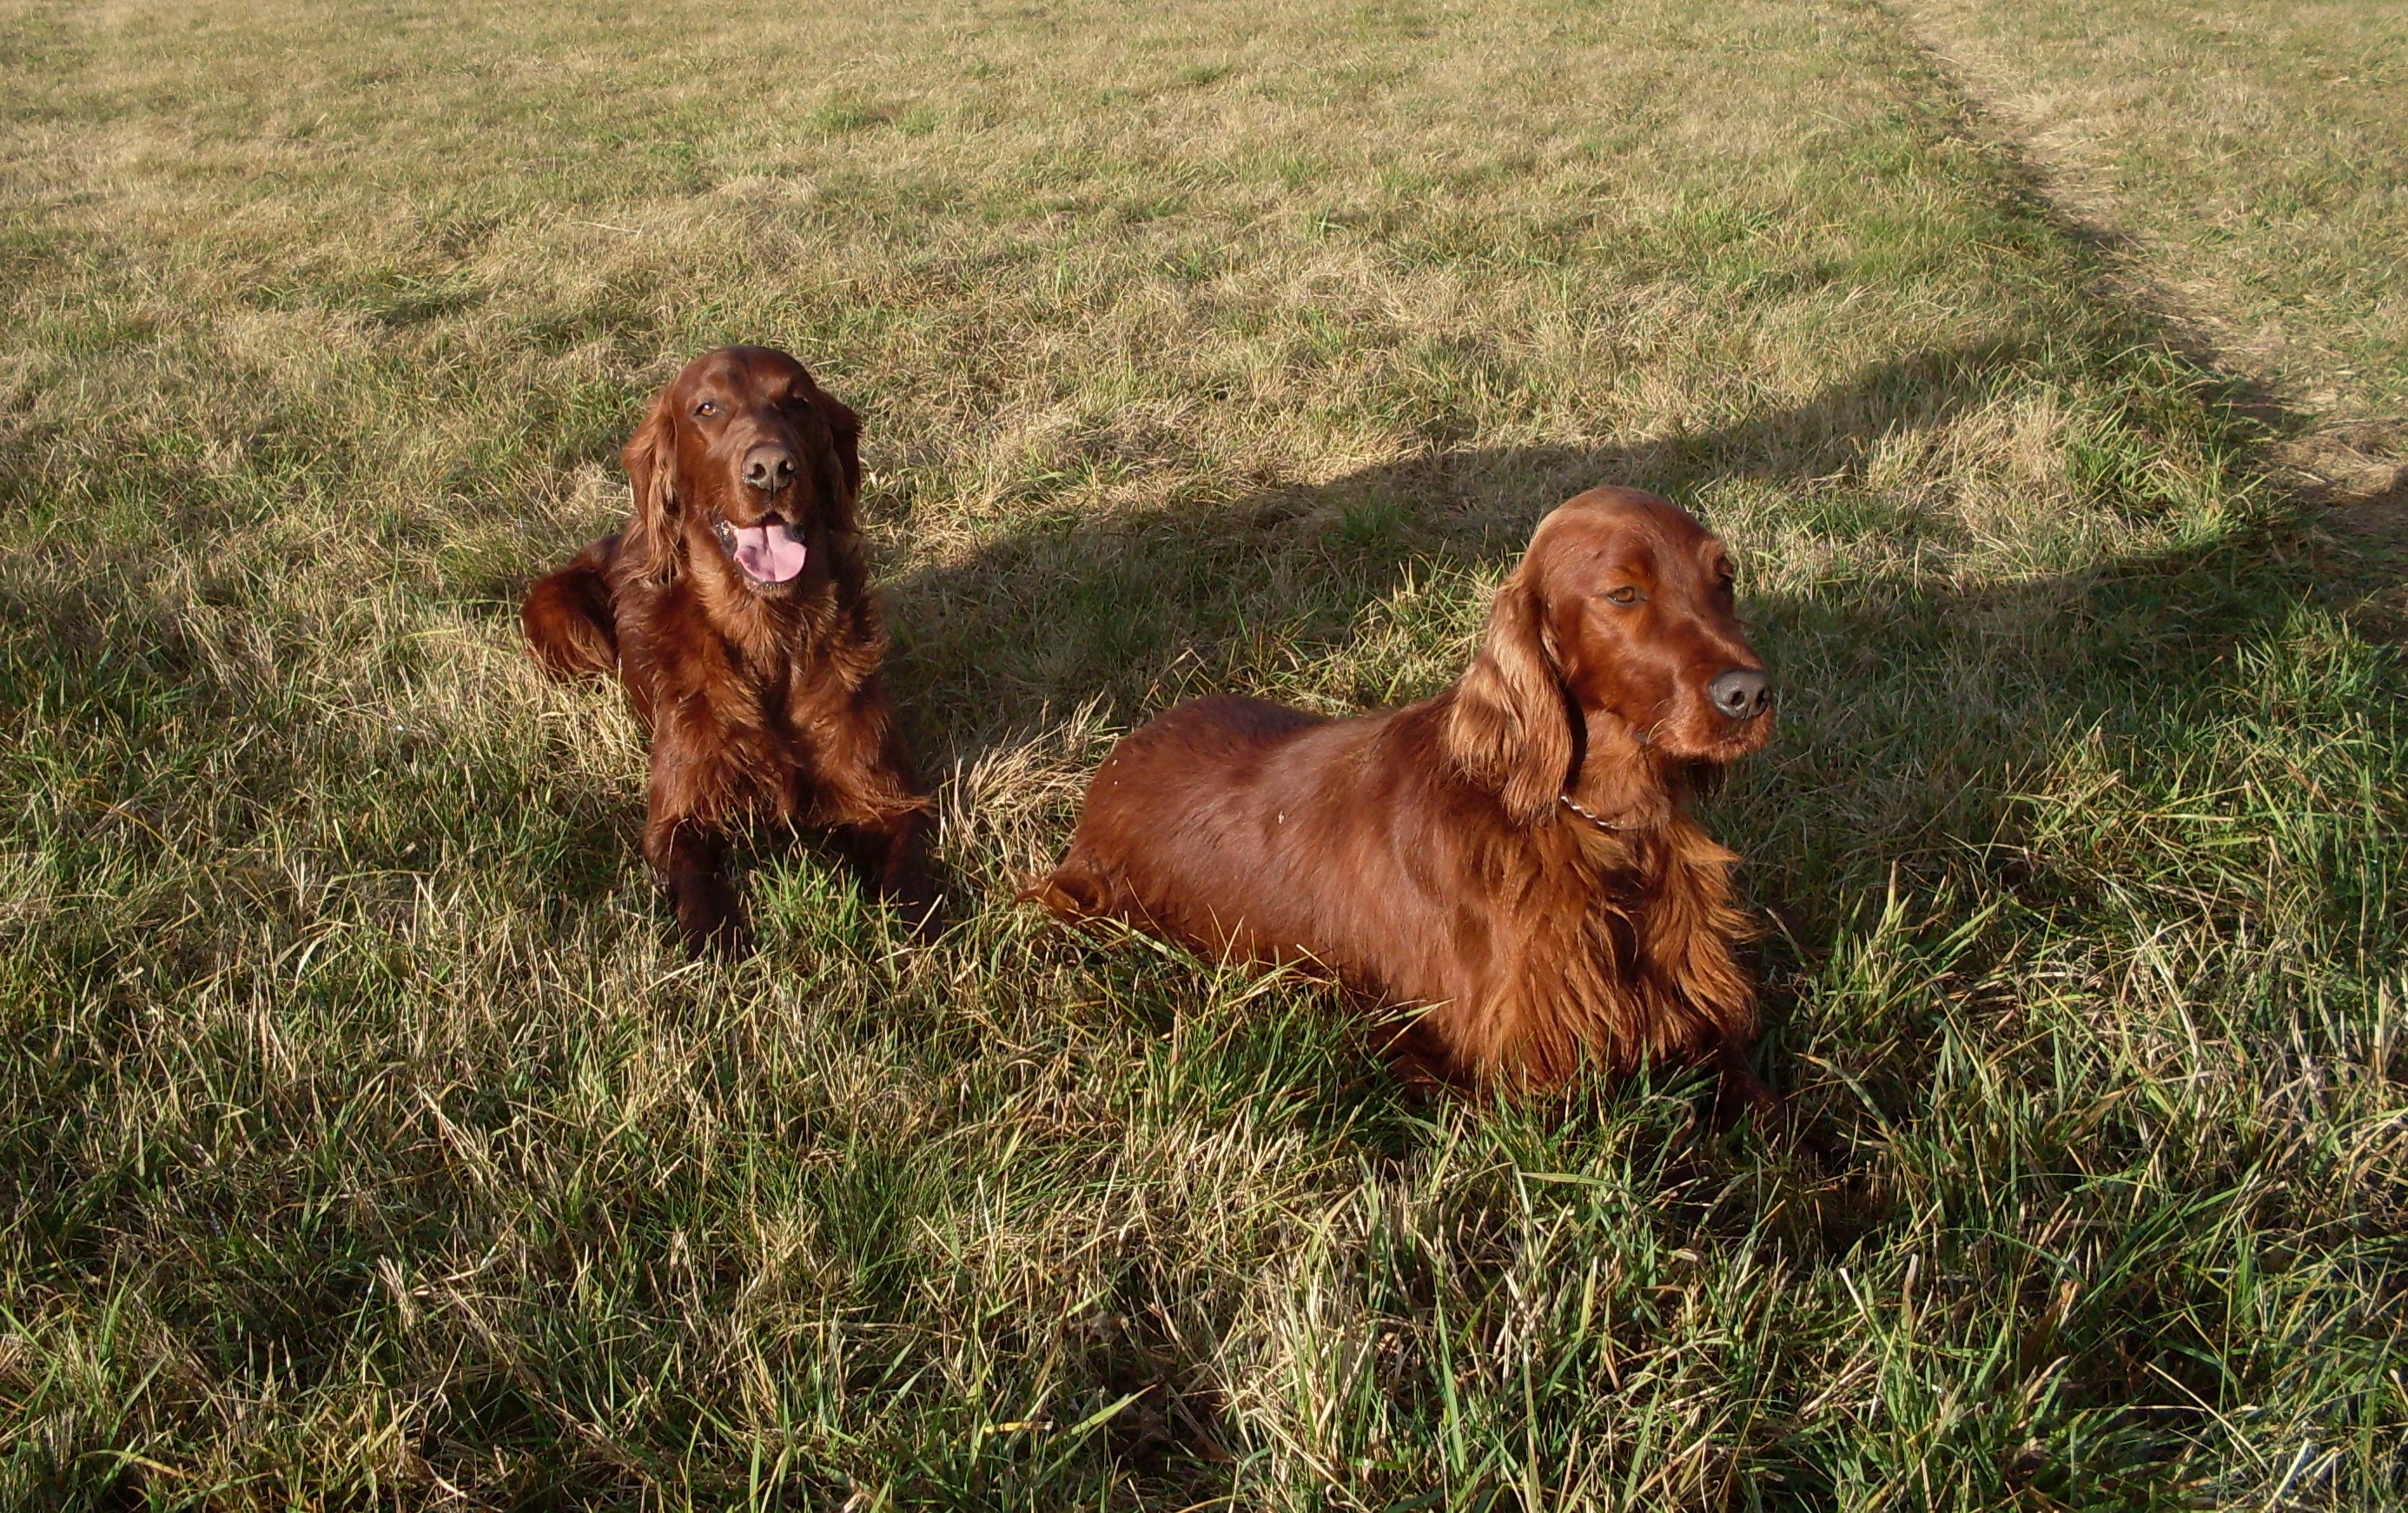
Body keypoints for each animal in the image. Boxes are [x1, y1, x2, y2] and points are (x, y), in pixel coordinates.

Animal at [525, 349, 929, 948]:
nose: (771, 469)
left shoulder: (886, 795)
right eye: (707, 408)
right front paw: (721, 945)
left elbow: (915, 886)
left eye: (798, 402)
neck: (767, 635)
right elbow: (699, 889)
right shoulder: (677, 819)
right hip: (563, 619)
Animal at [1025, 484, 1782, 1098]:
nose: (1749, 694)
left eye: (1724, 579)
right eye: (1624, 594)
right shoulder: (1519, 1073)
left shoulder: (1702, 1024)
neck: (1592, 822)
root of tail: (1120, 756)